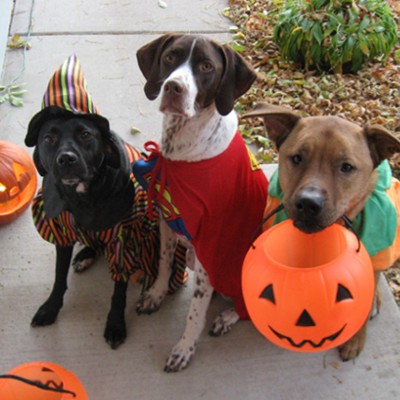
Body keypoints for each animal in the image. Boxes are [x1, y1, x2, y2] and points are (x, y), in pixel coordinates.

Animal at [25, 106, 186, 346]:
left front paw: (115, 325)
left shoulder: (122, 242)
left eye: (85, 134)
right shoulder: (62, 234)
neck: (82, 198)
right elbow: (59, 276)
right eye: (48, 138)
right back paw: (85, 256)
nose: (66, 159)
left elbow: (118, 291)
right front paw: (50, 308)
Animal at [134, 35, 268, 372]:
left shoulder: (211, 244)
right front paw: (156, 294)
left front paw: (184, 348)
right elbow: (165, 263)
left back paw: (227, 317)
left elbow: (195, 311)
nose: (173, 88)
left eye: (207, 66)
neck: (184, 154)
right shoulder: (168, 221)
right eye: (170, 57)